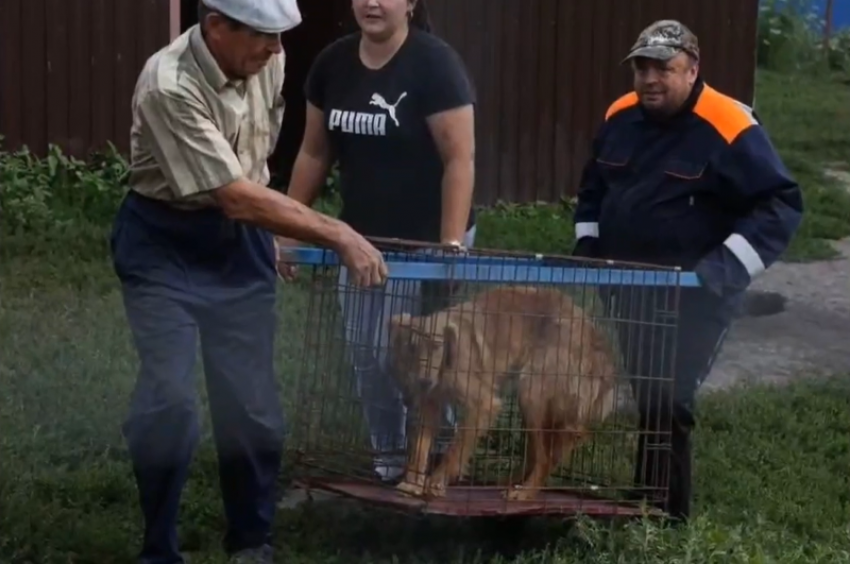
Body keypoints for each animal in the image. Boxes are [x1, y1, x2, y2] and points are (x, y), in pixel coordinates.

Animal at [386, 284, 616, 500]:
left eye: (436, 347)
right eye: (411, 350)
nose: (425, 381)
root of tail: (592, 331)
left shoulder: (483, 404)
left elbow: (455, 449)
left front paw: (436, 482)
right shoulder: (429, 404)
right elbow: (420, 449)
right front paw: (412, 483)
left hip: (531, 393)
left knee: (547, 456)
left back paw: (525, 492)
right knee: (545, 450)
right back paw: (510, 482)